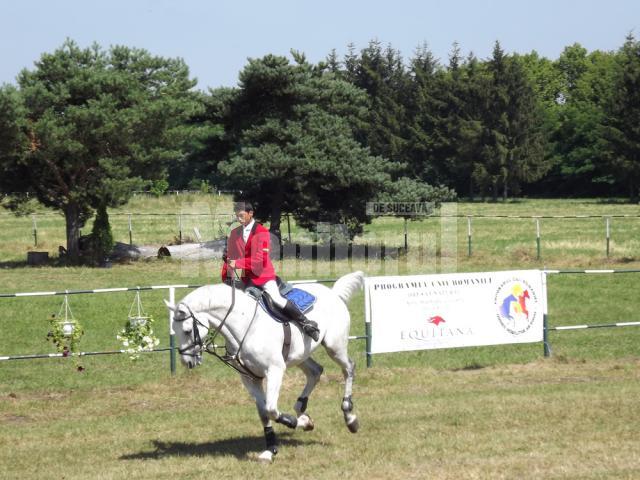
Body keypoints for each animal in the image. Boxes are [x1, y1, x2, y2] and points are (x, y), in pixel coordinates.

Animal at [165, 270, 362, 462]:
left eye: (187, 331)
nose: (187, 361)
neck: (245, 325)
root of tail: (334, 293)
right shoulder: (250, 378)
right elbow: (263, 413)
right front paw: (271, 450)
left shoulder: (275, 370)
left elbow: (271, 409)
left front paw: (299, 423)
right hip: (300, 356)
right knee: (315, 371)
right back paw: (300, 409)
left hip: (334, 347)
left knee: (348, 368)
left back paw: (349, 417)